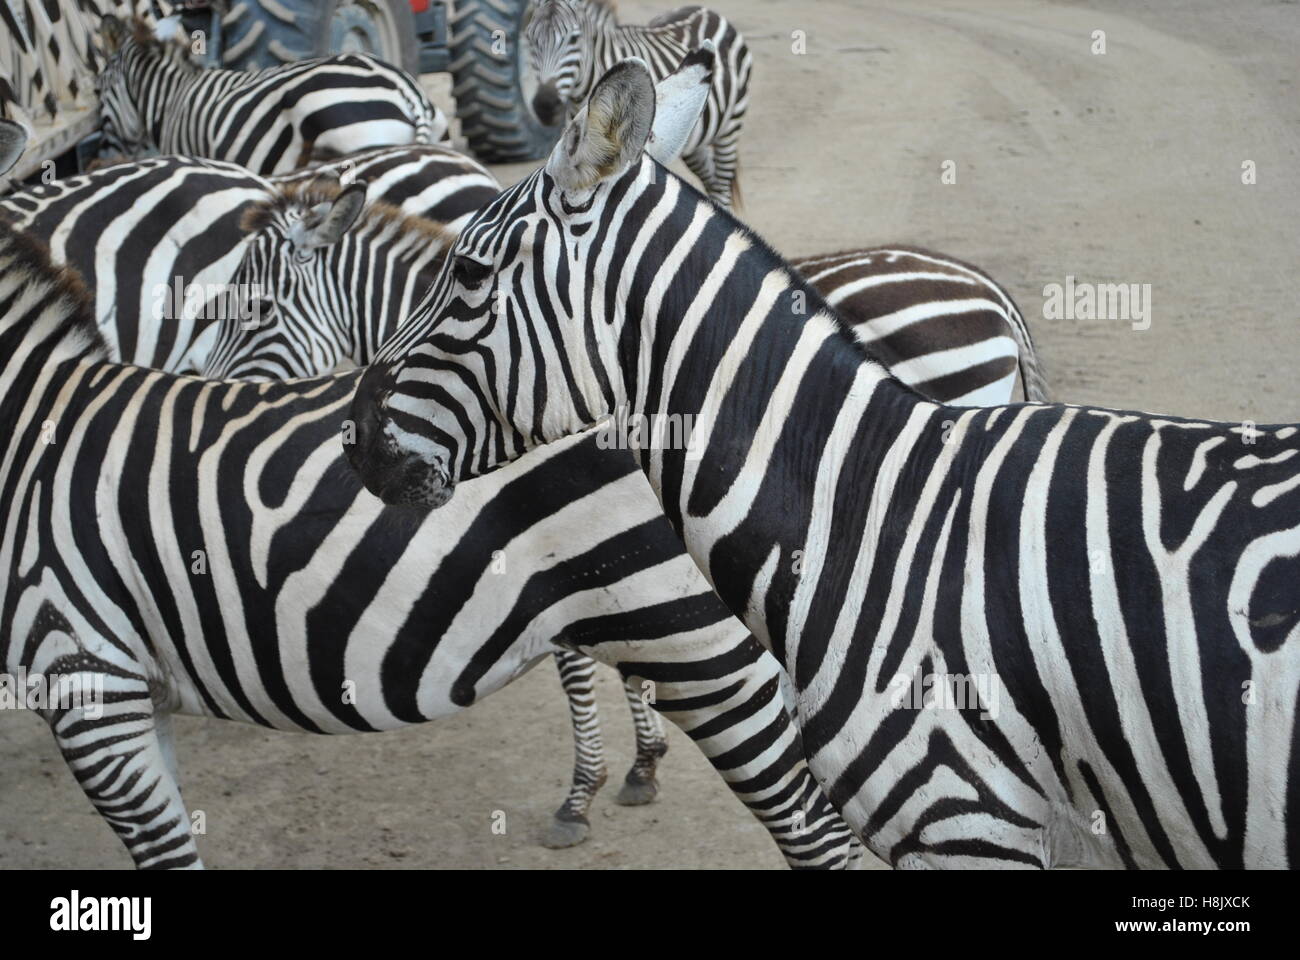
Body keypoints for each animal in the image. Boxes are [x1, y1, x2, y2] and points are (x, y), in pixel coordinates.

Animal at [523, 0, 749, 208]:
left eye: (574, 38)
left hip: (730, 127)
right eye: (530, 39)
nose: (545, 107)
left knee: (722, 185)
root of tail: (704, 9)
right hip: (693, 141)